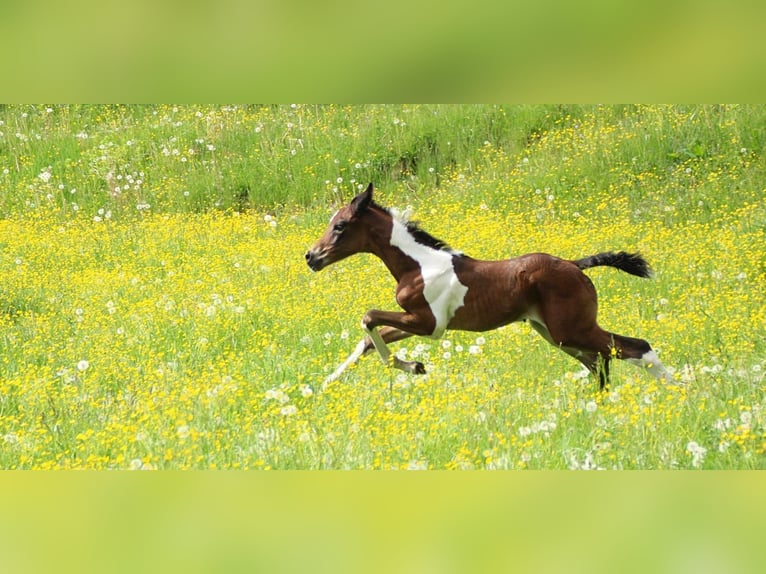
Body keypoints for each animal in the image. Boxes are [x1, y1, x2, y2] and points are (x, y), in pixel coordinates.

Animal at [305, 183, 673, 389]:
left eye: (340, 226)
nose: (311, 257)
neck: (418, 265)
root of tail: (574, 264)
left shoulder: (429, 324)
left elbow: (368, 318)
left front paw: (415, 366)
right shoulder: (416, 322)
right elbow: (368, 341)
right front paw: (326, 383)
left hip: (571, 330)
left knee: (635, 347)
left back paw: (681, 390)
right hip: (556, 333)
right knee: (602, 362)